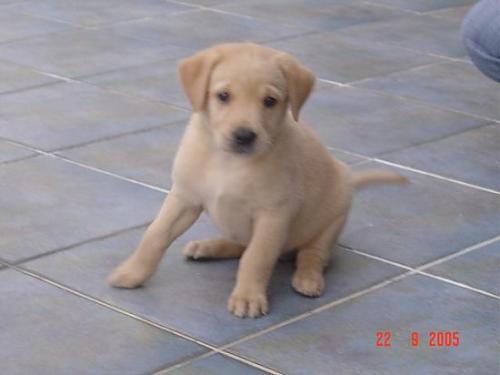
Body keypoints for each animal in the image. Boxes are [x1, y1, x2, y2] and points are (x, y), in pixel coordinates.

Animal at [107, 42, 404, 318]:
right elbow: (155, 234)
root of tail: (349, 180)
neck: (228, 162)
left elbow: (256, 258)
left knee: (314, 254)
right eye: (223, 96)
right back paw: (207, 246)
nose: (244, 136)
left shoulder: (273, 215)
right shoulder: (184, 197)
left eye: (270, 101)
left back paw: (308, 278)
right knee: (240, 244)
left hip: (332, 220)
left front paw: (249, 298)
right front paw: (132, 273)